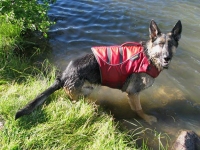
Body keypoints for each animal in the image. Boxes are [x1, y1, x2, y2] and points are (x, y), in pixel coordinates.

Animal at [15, 20, 181, 125]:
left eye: (171, 45)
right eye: (160, 44)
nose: (167, 58)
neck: (149, 56)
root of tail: (63, 75)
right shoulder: (134, 93)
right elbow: (138, 109)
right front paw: (147, 119)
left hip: (87, 89)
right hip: (75, 93)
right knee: (69, 100)